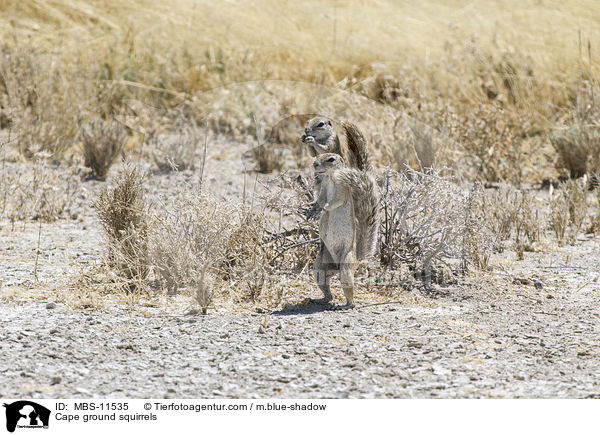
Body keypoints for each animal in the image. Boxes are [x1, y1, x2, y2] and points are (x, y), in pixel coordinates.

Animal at [302, 118, 378, 310]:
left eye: (330, 158)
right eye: (316, 157)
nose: (315, 164)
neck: (329, 178)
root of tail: (358, 259)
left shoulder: (342, 191)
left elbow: (333, 203)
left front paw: (321, 211)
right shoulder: (322, 191)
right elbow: (320, 200)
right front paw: (312, 210)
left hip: (346, 266)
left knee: (350, 294)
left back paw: (345, 305)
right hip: (319, 266)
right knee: (326, 288)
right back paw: (321, 299)